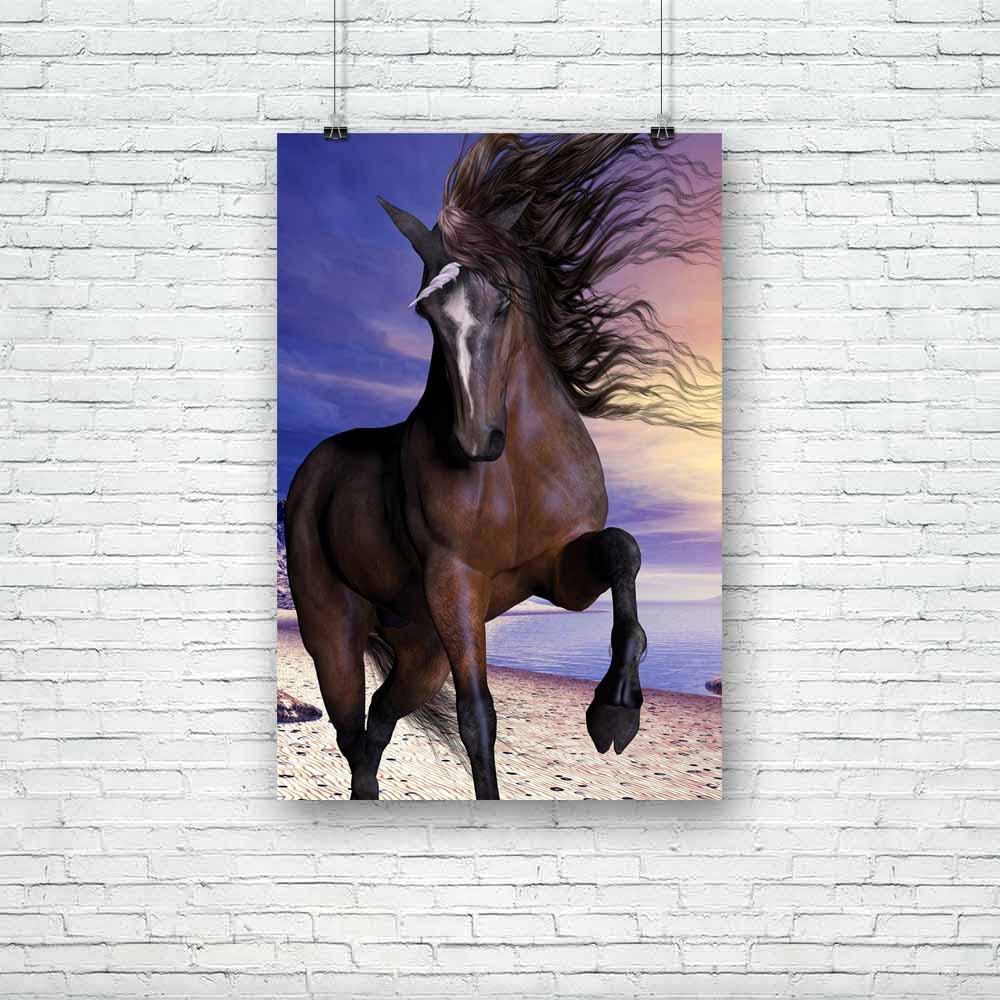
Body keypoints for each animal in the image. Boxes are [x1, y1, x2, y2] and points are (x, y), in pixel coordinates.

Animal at [285, 134, 720, 799]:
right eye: (426, 313)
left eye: (504, 302)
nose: (477, 439)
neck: (515, 471)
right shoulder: (456, 582)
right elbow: (478, 717)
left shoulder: (557, 574)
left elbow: (623, 549)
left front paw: (615, 711)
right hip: (336, 633)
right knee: (353, 729)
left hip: (420, 649)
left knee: (378, 726)